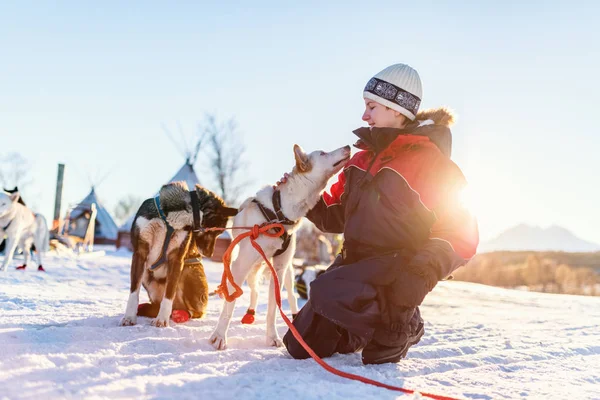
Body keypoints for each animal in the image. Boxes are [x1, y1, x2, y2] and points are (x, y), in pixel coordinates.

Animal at [119, 183, 237, 326]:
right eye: (216, 232)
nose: (210, 254)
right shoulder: (140, 253)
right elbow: (134, 292)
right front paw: (129, 317)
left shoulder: (176, 259)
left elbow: (169, 293)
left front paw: (161, 320)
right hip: (147, 274)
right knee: (156, 305)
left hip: (187, 271)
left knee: (195, 312)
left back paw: (181, 314)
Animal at [211, 145, 352, 350]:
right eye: (323, 153)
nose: (348, 146)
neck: (279, 213)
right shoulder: (241, 266)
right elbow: (230, 304)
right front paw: (219, 336)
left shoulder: (277, 269)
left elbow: (273, 309)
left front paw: (272, 337)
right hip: (250, 268)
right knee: (253, 291)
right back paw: (249, 313)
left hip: (287, 272)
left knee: (290, 296)